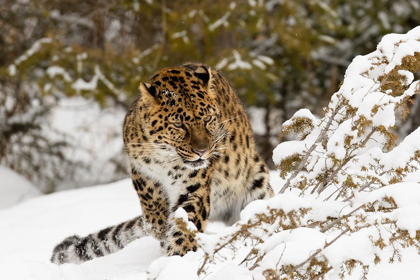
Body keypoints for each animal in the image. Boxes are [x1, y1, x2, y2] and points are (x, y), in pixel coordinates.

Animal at [50, 61, 274, 264]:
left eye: (208, 119)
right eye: (179, 124)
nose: (202, 151)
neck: (165, 157)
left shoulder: (195, 187)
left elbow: (186, 221)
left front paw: (179, 255)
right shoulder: (139, 169)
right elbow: (151, 202)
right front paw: (160, 228)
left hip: (257, 184)